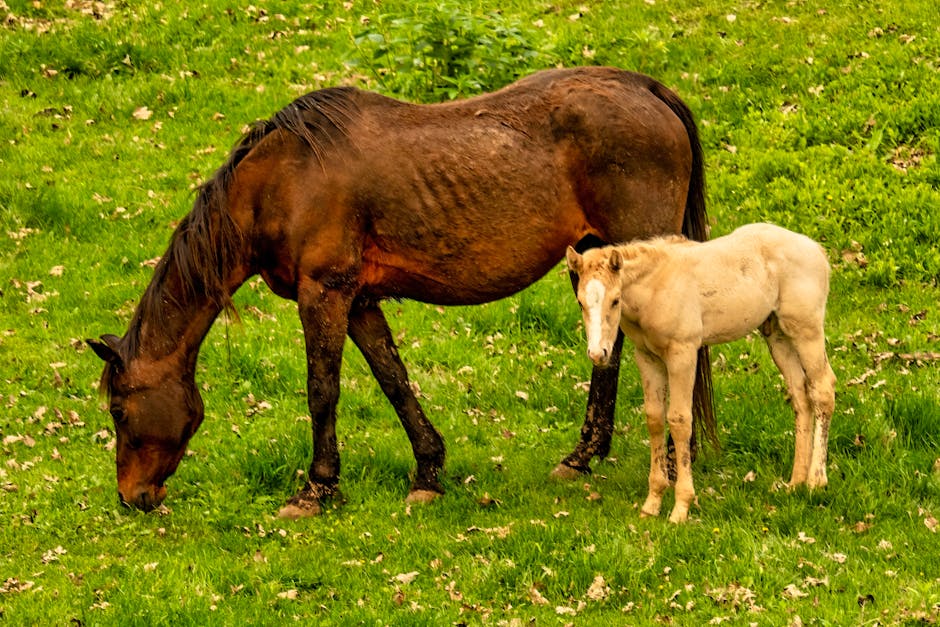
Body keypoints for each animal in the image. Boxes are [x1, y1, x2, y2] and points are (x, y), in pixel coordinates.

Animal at [92, 66, 716, 516]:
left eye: (119, 409)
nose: (132, 497)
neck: (281, 182)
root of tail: (647, 89)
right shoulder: (359, 302)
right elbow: (394, 381)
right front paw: (428, 473)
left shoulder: (325, 295)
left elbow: (322, 392)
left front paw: (317, 490)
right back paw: (584, 456)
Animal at [564, 223, 836, 524]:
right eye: (580, 302)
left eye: (615, 300)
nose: (597, 353)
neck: (656, 288)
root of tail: (816, 250)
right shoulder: (647, 357)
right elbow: (655, 419)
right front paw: (652, 502)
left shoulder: (683, 353)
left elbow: (680, 420)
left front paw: (681, 507)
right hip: (776, 334)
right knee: (801, 395)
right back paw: (796, 481)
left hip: (806, 329)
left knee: (822, 389)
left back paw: (816, 480)